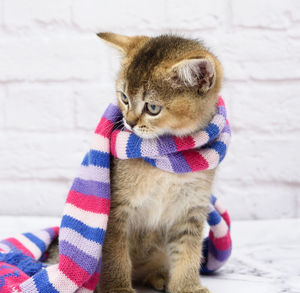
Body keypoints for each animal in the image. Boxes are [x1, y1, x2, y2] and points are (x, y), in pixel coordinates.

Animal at [95, 32, 223, 292]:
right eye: (124, 98)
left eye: (152, 108)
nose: (129, 122)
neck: (166, 161)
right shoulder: (117, 207)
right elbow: (115, 252)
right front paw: (117, 287)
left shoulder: (191, 207)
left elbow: (188, 252)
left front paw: (187, 287)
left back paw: (160, 276)